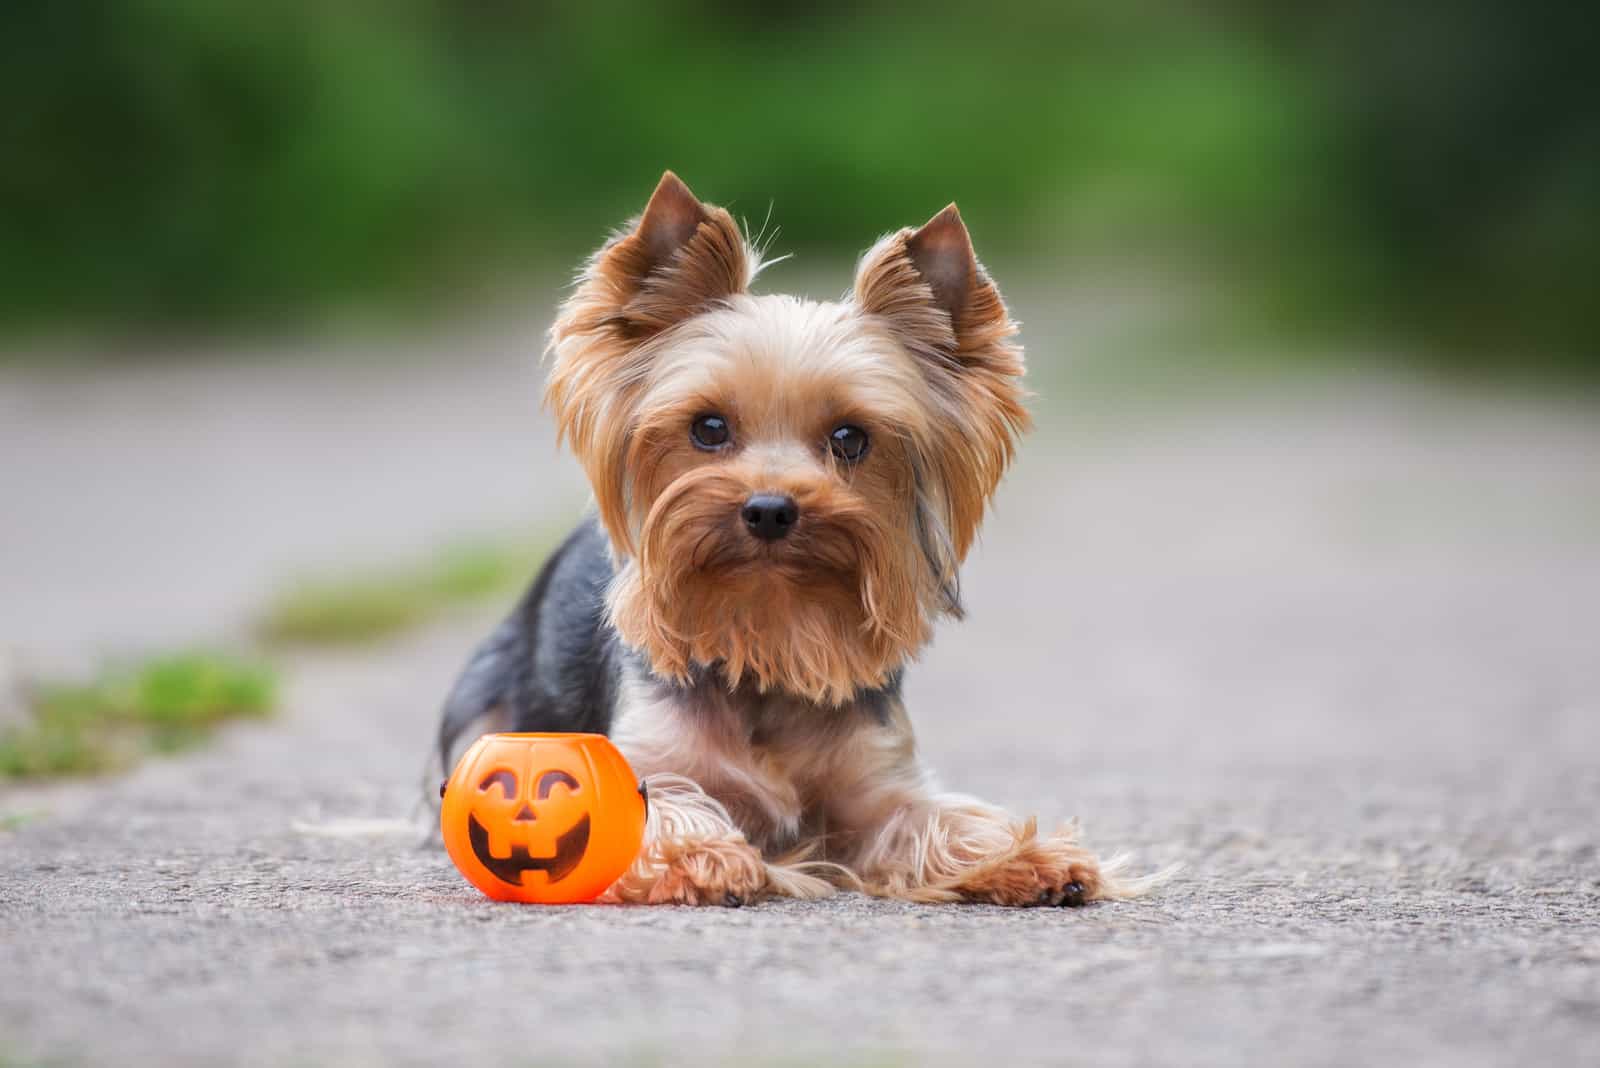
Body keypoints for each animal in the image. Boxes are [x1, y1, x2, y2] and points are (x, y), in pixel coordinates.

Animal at [441, 171, 1139, 908]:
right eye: (708, 428)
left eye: (850, 438)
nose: (771, 509)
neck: (769, 632)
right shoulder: (645, 758)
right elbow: (656, 809)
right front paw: (703, 857)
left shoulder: (879, 781)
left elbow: (935, 821)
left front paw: (1032, 857)